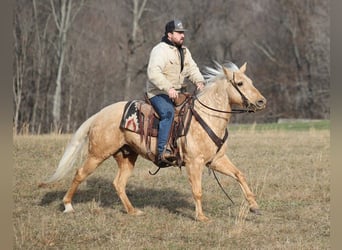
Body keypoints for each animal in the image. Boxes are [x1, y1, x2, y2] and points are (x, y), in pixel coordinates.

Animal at [41, 61, 268, 222]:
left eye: (251, 81)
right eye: (240, 83)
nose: (261, 101)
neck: (205, 117)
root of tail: (100, 114)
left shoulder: (217, 159)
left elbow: (239, 175)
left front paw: (254, 206)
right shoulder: (194, 163)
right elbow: (197, 190)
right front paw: (201, 217)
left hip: (126, 157)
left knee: (119, 183)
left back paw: (133, 211)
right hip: (97, 154)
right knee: (80, 174)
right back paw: (68, 206)